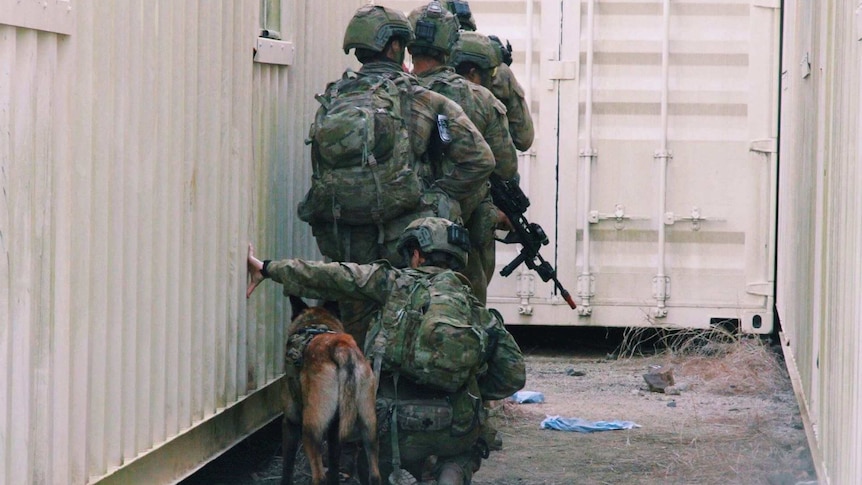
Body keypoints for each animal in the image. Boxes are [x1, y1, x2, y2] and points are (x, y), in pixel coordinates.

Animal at [284, 294, 382, 484]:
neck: (315, 323)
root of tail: (341, 348)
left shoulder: (291, 420)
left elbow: (287, 465)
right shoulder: (335, 430)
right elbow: (334, 465)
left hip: (311, 431)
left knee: (319, 476)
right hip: (369, 427)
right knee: (375, 474)